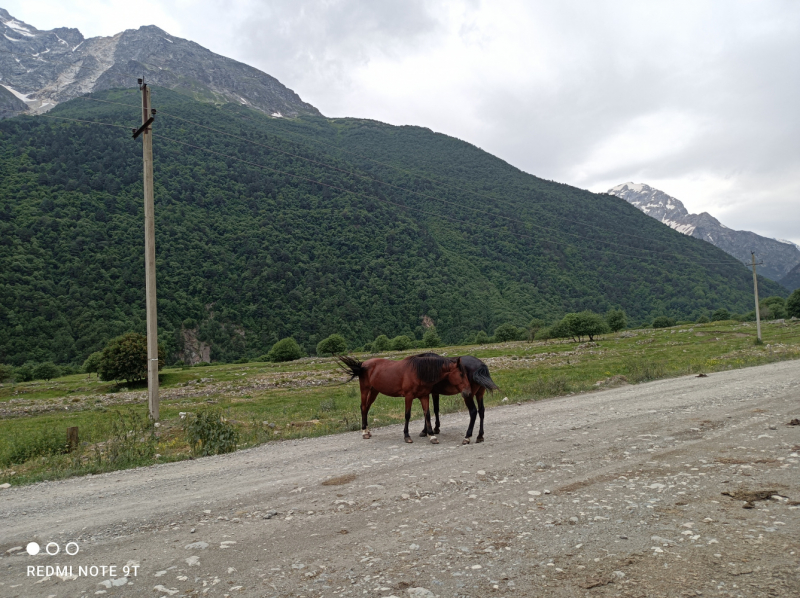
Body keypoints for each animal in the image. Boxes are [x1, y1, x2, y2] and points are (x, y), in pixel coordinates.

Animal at [336, 356, 472, 446]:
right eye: (461, 374)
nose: (468, 392)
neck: (419, 372)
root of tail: (363, 364)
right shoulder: (408, 396)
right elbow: (407, 415)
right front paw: (407, 436)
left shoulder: (424, 396)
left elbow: (427, 414)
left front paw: (431, 435)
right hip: (365, 389)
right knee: (364, 407)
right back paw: (364, 432)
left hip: (374, 390)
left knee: (367, 407)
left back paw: (368, 431)